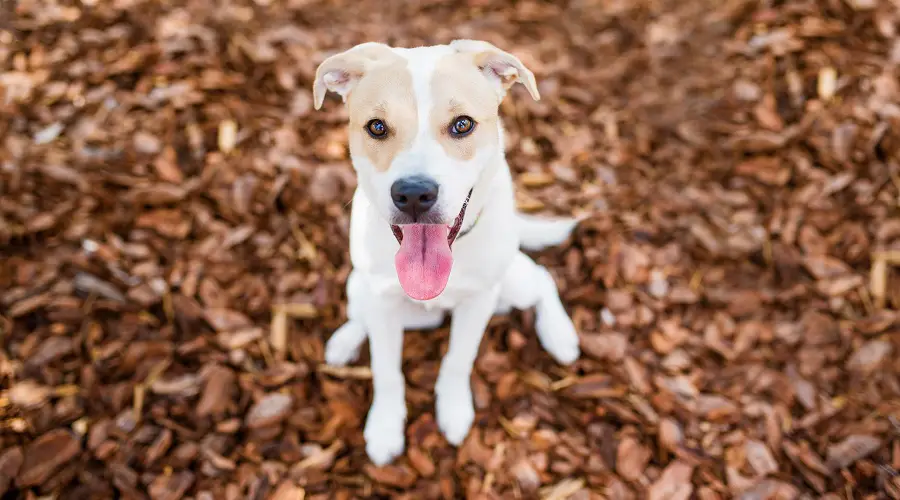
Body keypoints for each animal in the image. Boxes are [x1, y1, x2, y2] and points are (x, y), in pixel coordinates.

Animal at [314, 41, 584, 466]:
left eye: (462, 125)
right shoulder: (382, 300)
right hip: (361, 287)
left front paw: (454, 410)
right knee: (363, 316)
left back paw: (559, 335)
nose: (413, 194)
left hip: (511, 283)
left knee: (542, 277)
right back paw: (345, 339)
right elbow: (386, 369)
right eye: (377, 127)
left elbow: (458, 359)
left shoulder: (479, 302)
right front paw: (385, 426)